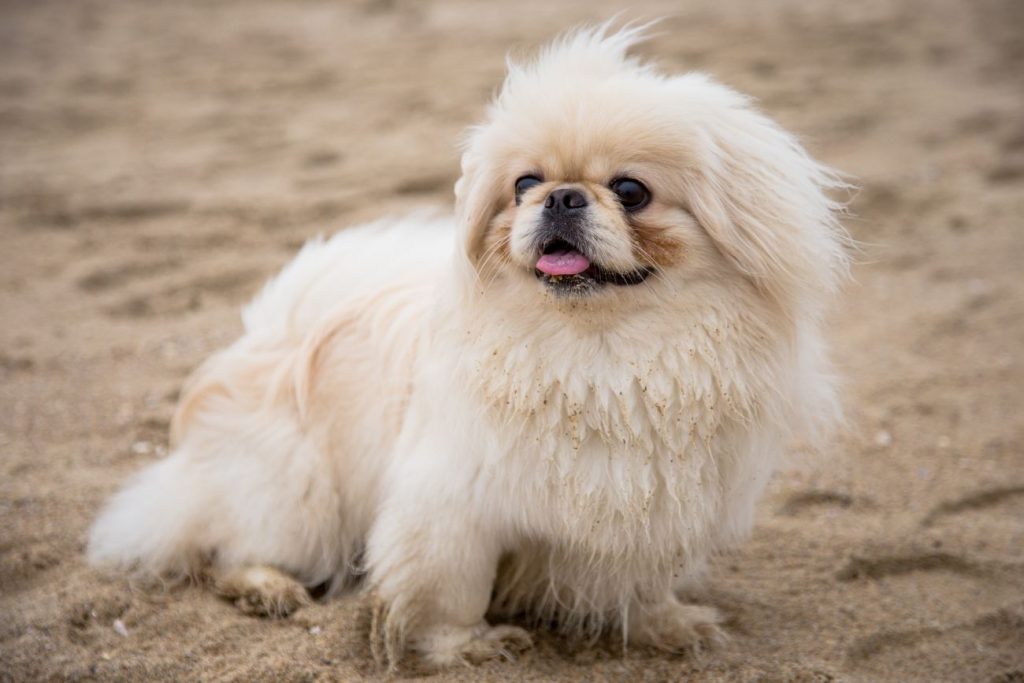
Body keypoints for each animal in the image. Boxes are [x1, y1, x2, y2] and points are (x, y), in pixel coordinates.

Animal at [90, 24, 847, 671]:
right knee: (221, 543)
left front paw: (668, 625)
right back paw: (266, 586)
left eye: (631, 191)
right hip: (299, 499)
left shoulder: (656, 505)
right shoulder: (454, 506)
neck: (600, 355)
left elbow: (644, 584)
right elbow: (449, 589)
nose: (562, 197)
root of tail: (273, 329)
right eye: (524, 185)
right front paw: (467, 646)